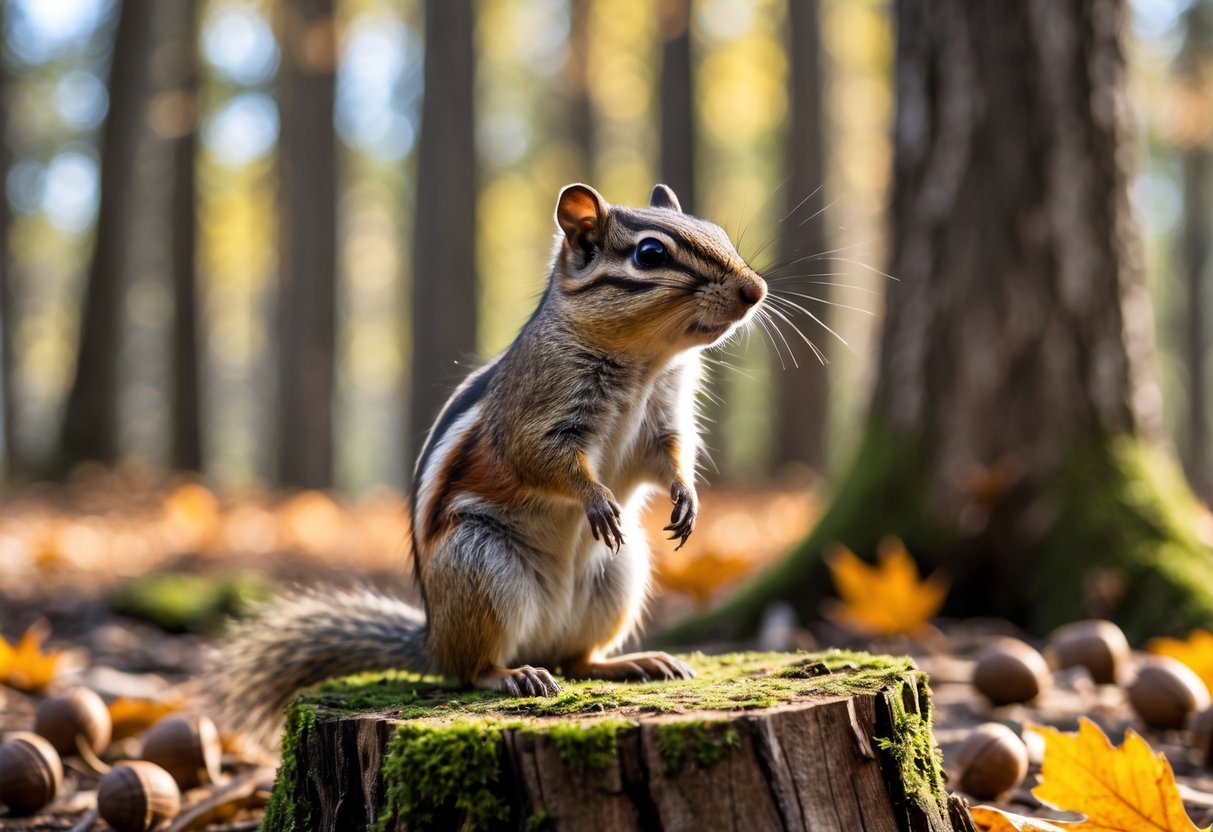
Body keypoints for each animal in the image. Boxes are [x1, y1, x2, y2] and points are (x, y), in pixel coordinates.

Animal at [216, 183, 767, 738]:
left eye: (716, 231)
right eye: (650, 253)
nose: (756, 289)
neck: (645, 364)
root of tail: (435, 641)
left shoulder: (665, 419)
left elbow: (673, 454)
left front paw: (687, 499)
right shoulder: (535, 413)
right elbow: (537, 457)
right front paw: (596, 499)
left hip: (618, 574)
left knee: (576, 660)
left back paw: (635, 662)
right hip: (479, 564)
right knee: (473, 669)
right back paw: (513, 675)